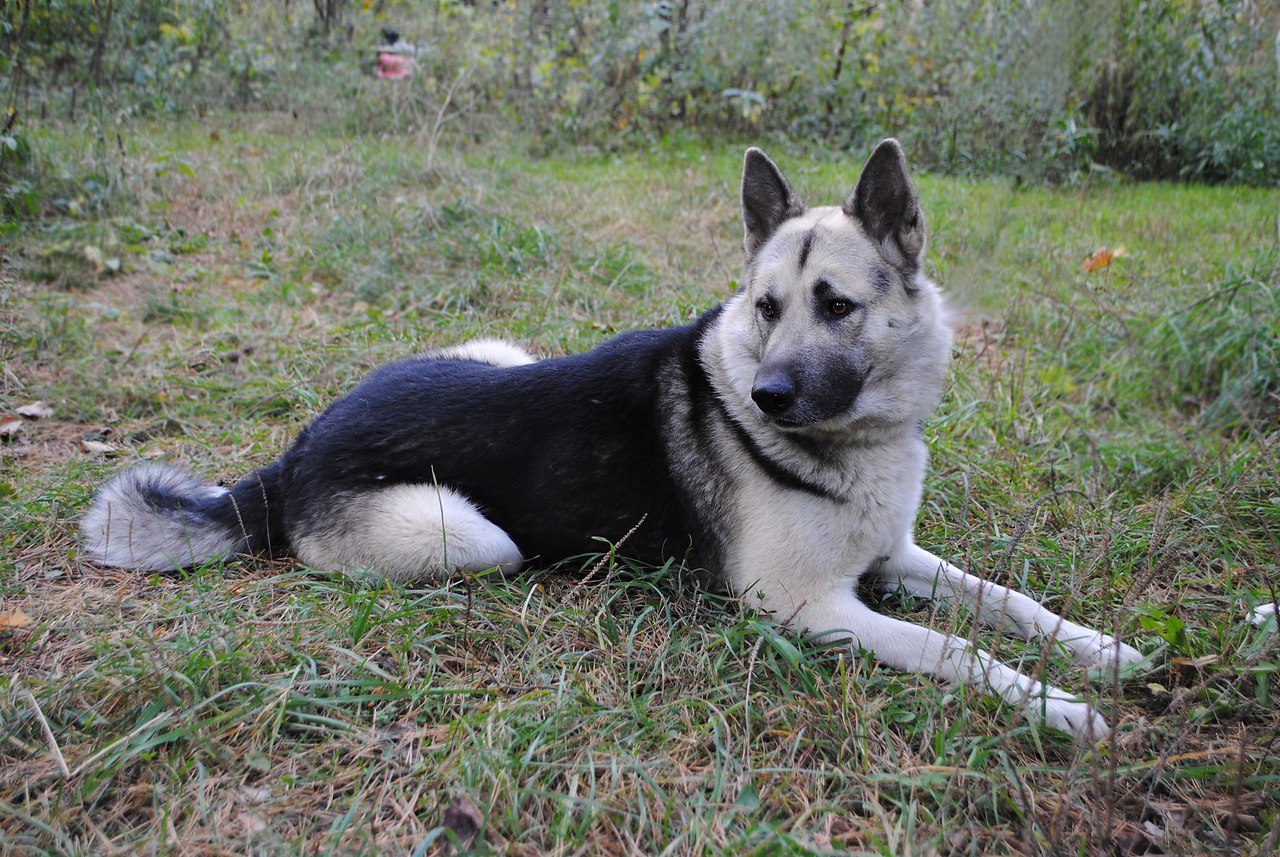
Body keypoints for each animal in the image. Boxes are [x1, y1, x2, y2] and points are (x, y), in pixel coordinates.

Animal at [82, 139, 1141, 736]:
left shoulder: (898, 559)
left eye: (835, 305)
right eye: (766, 307)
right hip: (475, 537)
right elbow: (957, 649)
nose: (765, 395)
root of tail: (290, 456)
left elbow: (1007, 601)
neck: (854, 441)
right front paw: (1059, 708)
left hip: (500, 352)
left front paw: (1102, 651)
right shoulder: (810, 607)